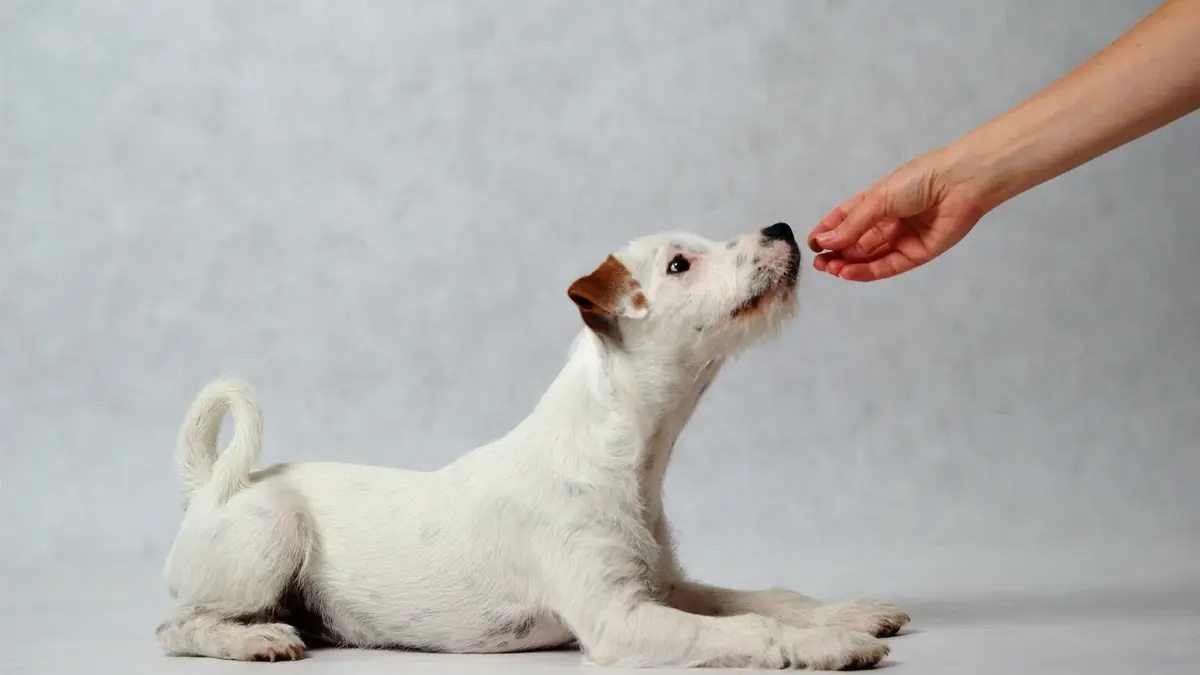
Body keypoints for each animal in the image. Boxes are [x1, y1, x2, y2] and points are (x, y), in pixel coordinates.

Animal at [159, 222, 907, 667]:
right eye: (680, 264)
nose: (780, 227)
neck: (619, 458)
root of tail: (212, 486)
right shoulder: (620, 618)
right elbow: (745, 629)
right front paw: (830, 643)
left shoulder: (665, 586)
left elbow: (765, 597)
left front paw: (850, 614)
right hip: (272, 531)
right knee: (178, 628)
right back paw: (255, 637)